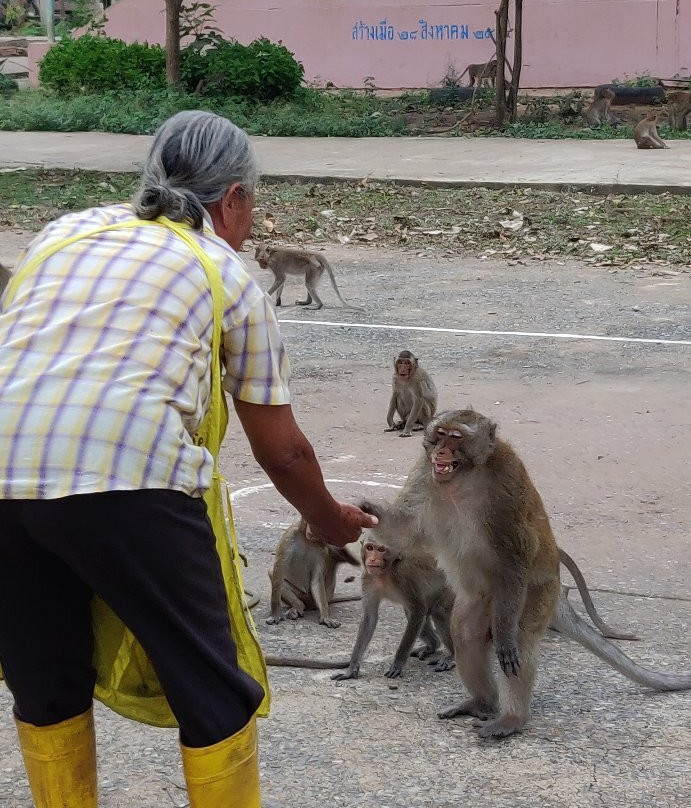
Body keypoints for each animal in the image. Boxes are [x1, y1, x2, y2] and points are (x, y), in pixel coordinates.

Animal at [362, 410, 691, 740]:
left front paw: (506, 642)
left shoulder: (506, 483)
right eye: (440, 434)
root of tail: (557, 589)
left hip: (530, 595)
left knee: (518, 633)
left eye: (456, 438)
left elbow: (514, 558)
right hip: (483, 598)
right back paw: (481, 703)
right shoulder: (424, 472)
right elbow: (404, 529)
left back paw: (512, 718)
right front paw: (365, 509)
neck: (463, 478)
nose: (440, 452)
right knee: (466, 633)